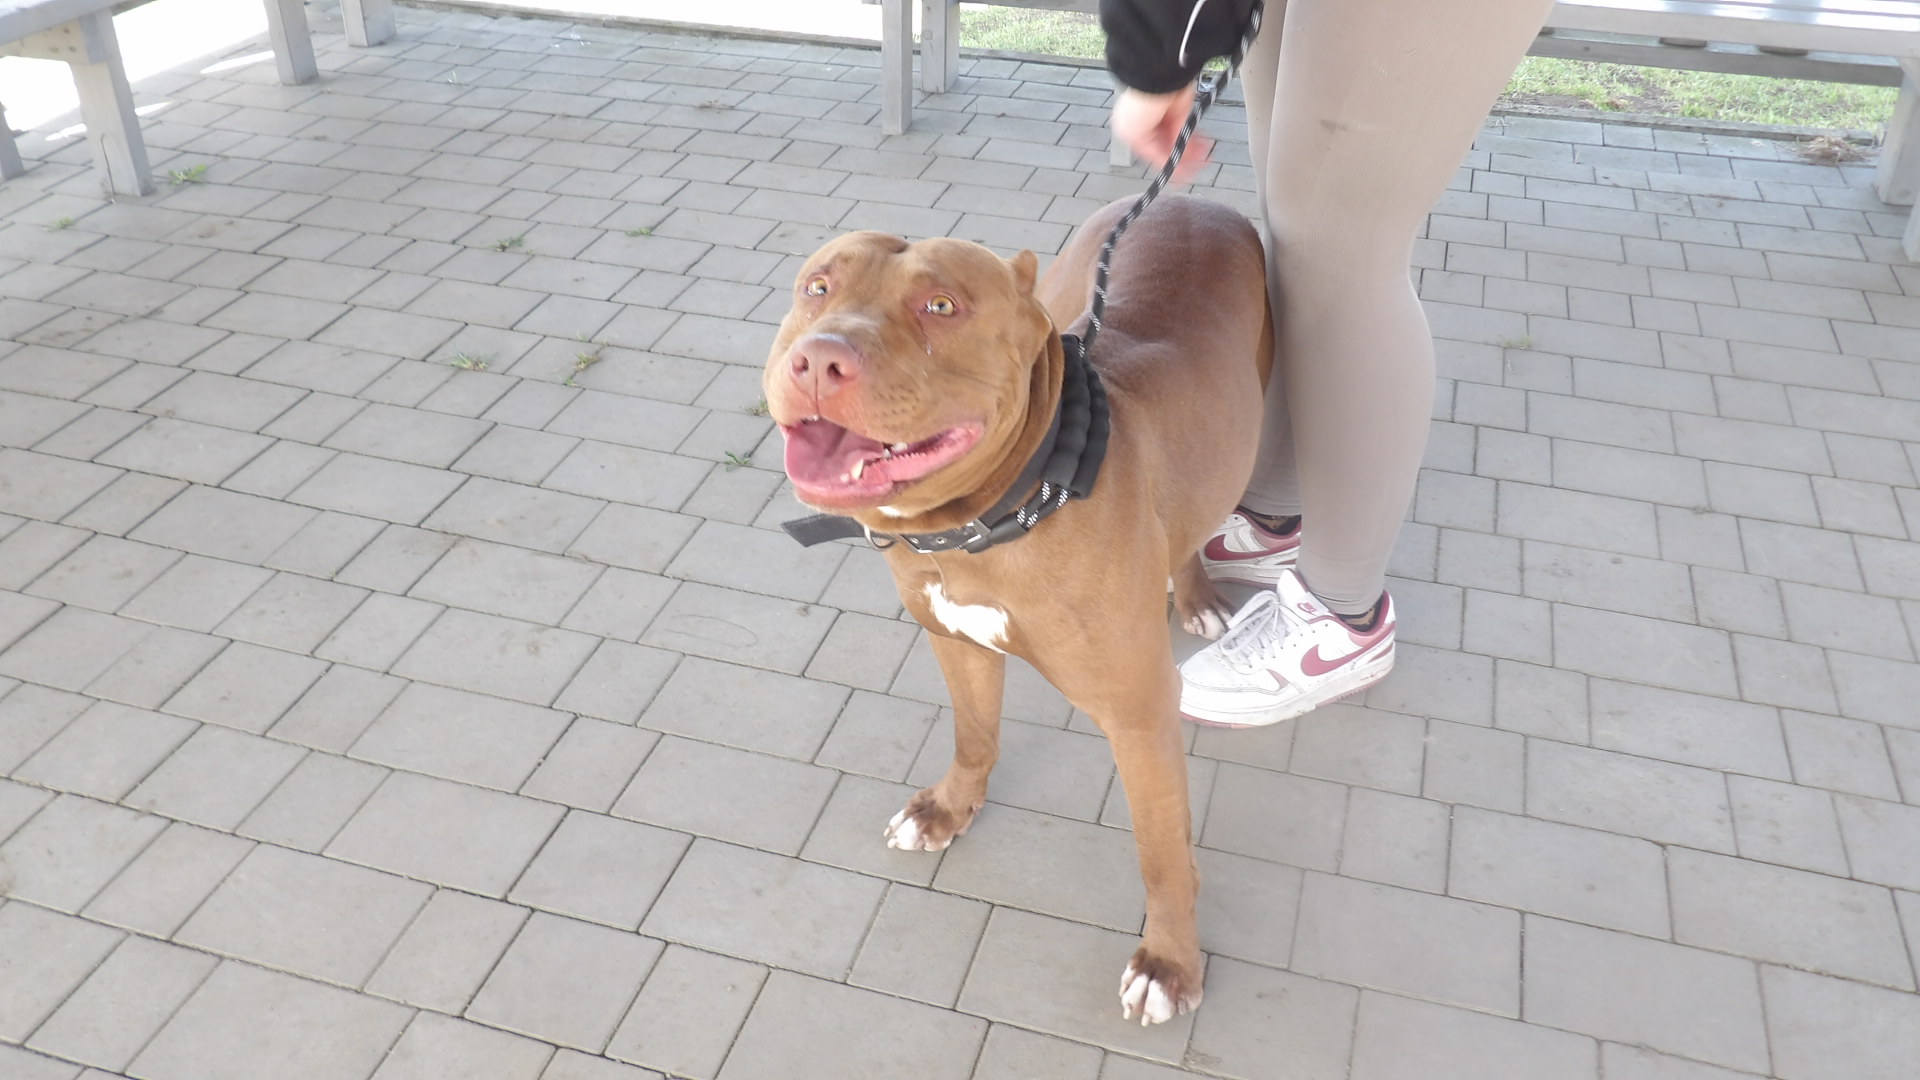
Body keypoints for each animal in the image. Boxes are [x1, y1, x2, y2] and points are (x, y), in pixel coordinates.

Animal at [763, 193, 1272, 1024]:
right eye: (817, 287)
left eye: (941, 306)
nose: (818, 359)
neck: (997, 516)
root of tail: (1190, 197)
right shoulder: (954, 639)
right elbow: (974, 735)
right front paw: (947, 810)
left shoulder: (1141, 719)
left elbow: (1162, 854)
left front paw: (1170, 962)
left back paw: (1196, 594)